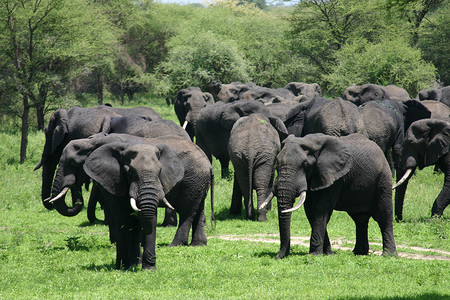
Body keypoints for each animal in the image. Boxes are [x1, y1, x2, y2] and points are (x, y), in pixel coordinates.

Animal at [46, 134, 214, 270]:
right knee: (198, 209)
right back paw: (198, 244)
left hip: (192, 181)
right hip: (198, 182)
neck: (93, 141)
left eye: (72, 163)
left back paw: (174, 245)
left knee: (187, 212)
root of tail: (208, 162)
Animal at [260, 134, 398, 258]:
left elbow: (321, 210)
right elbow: (311, 212)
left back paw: (389, 255)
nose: (278, 256)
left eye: (305, 165)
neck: (309, 141)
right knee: (360, 219)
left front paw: (314, 255)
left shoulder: (334, 178)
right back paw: (359, 253)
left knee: (383, 217)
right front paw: (328, 253)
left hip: (383, 180)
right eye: (277, 163)